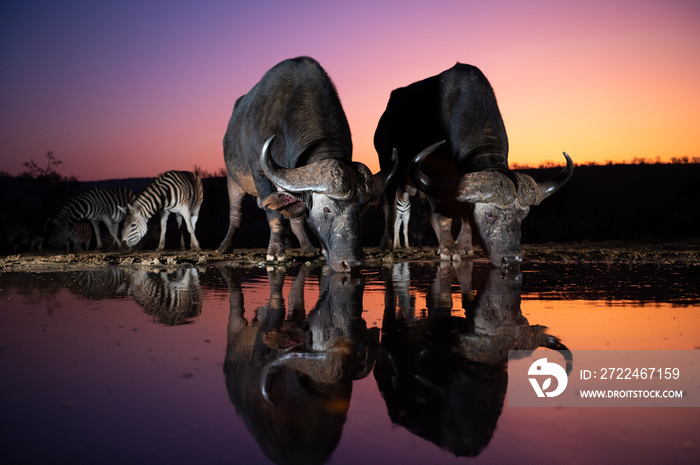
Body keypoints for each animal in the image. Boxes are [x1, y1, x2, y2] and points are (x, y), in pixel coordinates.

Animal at [216, 56, 396, 272]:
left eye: (360, 211)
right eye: (327, 210)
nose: (352, 264)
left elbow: (299, 217)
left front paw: (318, 249)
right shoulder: (259, 174)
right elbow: (273, 214)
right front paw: (275, 252)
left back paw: (307, 247)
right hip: (233, 181)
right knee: (236, 213)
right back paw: (225, 246)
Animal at [374, 63, 572, 266]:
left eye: (523, 215)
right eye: (489, 215)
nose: (511, 259)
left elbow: (464, 216)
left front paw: (463, 246)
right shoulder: (433, 179)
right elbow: (442, 217)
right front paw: (449, 250)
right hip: (389, 168)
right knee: (390, 206)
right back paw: (387, 244)